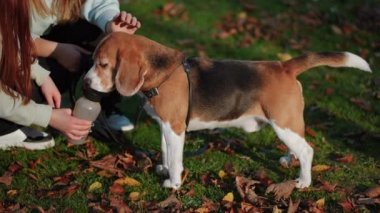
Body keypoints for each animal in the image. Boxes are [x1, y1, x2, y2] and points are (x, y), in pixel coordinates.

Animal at [83, 32, 372, 190]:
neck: (163, 71)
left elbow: (176, 159)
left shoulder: (175, 128)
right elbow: (166, 151)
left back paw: (303, 181)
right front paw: (163, 169)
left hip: (283, 123)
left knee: (308, 150)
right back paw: (289, 160)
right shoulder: (166, 127)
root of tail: (283, 66)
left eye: (103, 64)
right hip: (286, 124)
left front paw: (173, 183)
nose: (85, 82)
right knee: (298, 148)